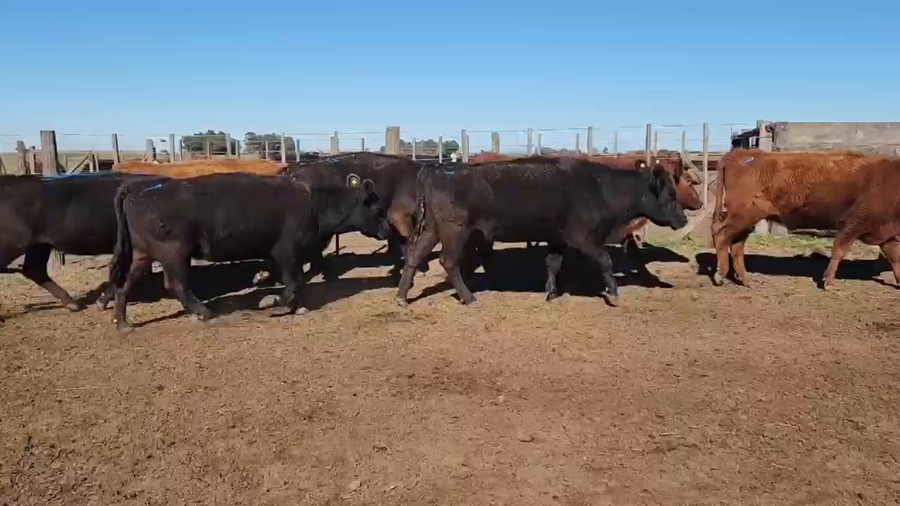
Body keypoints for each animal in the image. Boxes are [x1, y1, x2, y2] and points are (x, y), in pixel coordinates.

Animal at [108, 172, 389, 333]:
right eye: (377, 209)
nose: (388, 230)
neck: (314, 205)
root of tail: (139, 187)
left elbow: (297, 281)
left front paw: (294, 305)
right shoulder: (287, 252)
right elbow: (295, 281)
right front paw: (278, 304)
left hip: (143, 253)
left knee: (126, 284)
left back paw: (123, 324)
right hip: (174, 252)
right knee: (177, 284)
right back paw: (205, 313)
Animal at [395, 156, 689, 307]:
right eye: (670, 196)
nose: (684, 219)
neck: (600, 188)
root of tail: (437, 169)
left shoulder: (558, 239)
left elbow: (552, 263)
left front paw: (551, 294)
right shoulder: (583, 237)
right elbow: (605, 260)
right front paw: (614, 295)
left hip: (432, 229)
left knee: (414, 255)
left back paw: (402, 297)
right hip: (454, 231)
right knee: (449, 262)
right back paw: (470, 298)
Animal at [711, 148, 900, 290]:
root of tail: (741, 154)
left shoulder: (887, 234)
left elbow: (895, 257)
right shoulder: (852, 224)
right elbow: (839, 251)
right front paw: (828, 283)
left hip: (746, 220)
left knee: (736, 244)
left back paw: (746, 280)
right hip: (743, 216)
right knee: (721, 233)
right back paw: (720, 275)